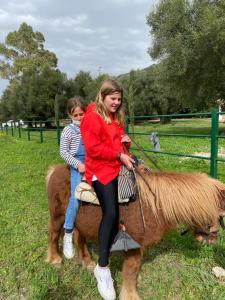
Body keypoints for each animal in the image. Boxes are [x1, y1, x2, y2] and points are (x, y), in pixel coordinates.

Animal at [45, 164, 225, 300]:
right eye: (219, 214)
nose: (212, 238)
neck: (153, 205)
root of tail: (54, 170)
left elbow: (135, 270)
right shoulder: (133, 247)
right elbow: (131, 271)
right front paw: (130, 295)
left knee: (80, 239)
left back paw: (88, 261)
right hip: (58, 217)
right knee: (54, 235)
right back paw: (55, 259)